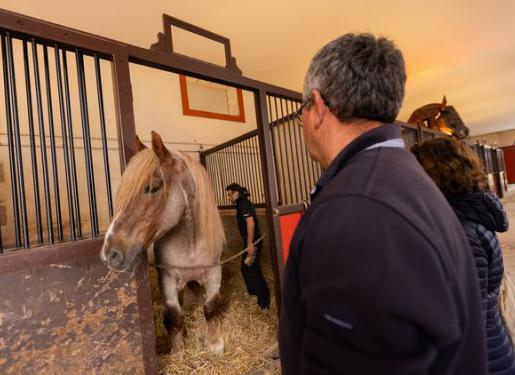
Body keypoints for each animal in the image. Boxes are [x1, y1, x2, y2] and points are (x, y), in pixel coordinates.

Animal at [101, 131, 226, 356]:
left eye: (154, 187)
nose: (109, 254)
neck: (190, 246)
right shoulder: (167, 280)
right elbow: (175, 315)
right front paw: (178, 349)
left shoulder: (214, 274)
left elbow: (210, 307)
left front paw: (214, 342)